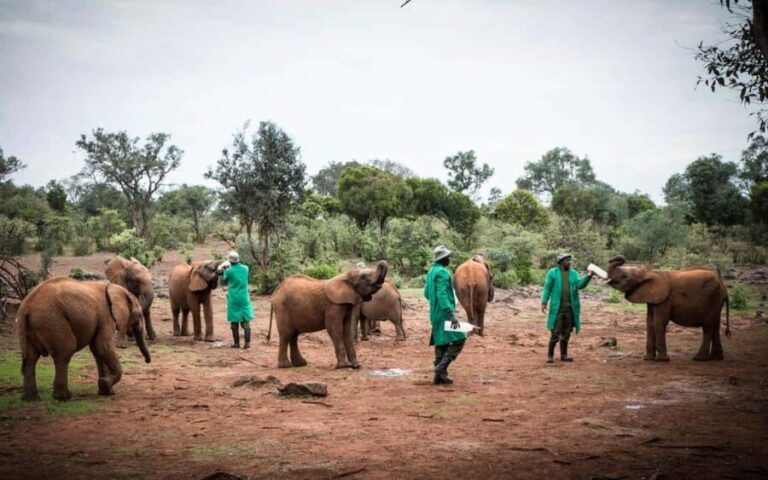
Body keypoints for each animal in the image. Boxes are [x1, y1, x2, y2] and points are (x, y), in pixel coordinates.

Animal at [17, 277, 151, 401]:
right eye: (139, 315)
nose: (147, 361)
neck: (118, 290)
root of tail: (26, 306)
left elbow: (97, 350)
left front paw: (105, 391)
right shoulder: (106, 316)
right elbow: (103, 347)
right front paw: (104, 384)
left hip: (33, 325)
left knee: (30, 358)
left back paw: (31, 398)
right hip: (52, 320)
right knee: (64, 352)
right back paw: (63, 397)